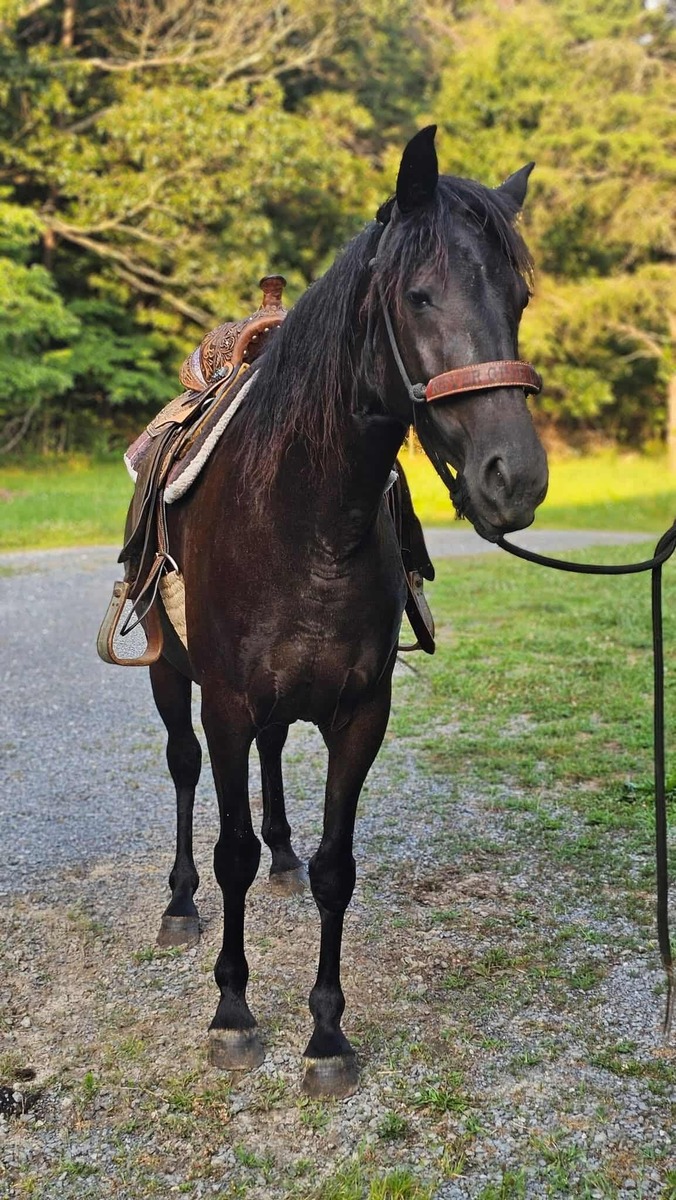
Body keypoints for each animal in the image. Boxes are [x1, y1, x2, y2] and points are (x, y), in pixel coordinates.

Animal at [145, 125, 549, 1098]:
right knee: (183, 773)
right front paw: (233, 1014)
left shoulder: (361, 709)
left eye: (518, 297)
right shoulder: (225, 702)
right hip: (170, 673)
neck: (306, 517)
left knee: (275, 772)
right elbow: (230, 851)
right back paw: (179, 904)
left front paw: (326, 1034)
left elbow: (338, 868)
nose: (514, 477)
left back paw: (283, 856)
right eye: (420, 294)